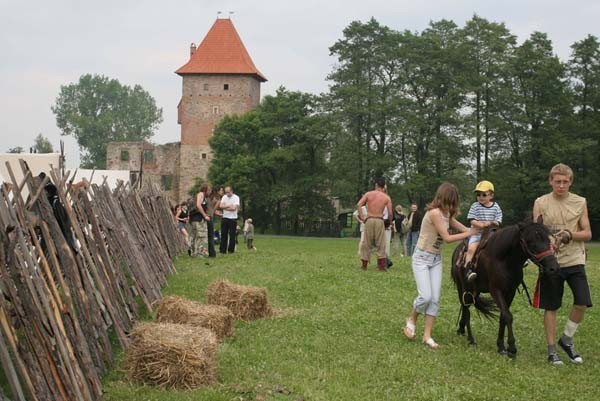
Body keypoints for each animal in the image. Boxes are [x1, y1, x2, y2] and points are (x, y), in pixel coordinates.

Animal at [452, 217, 560, 358]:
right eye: (530, 242)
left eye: (547, 240)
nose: (553, 268)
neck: (504, 259)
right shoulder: (496, 291)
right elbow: (508, 316)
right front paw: (512, 348)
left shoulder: (510, 292)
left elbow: (503, 316)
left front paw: (501, 346)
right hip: (463, 288)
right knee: (466, 310)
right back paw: (471, 339)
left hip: (475, 290)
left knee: (466, 308)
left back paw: (461, 329)